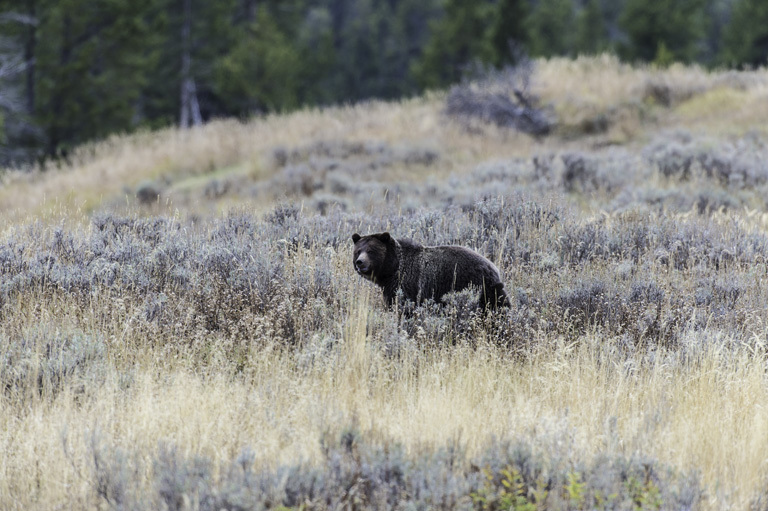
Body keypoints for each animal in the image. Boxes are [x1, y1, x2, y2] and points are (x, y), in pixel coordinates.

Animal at [350, 234, 508, 310]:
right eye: (358, 251)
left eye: (371, 251)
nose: (360, 262)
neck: (392, 270)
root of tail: (493, 267)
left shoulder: (407, 284)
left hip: (476, 284)